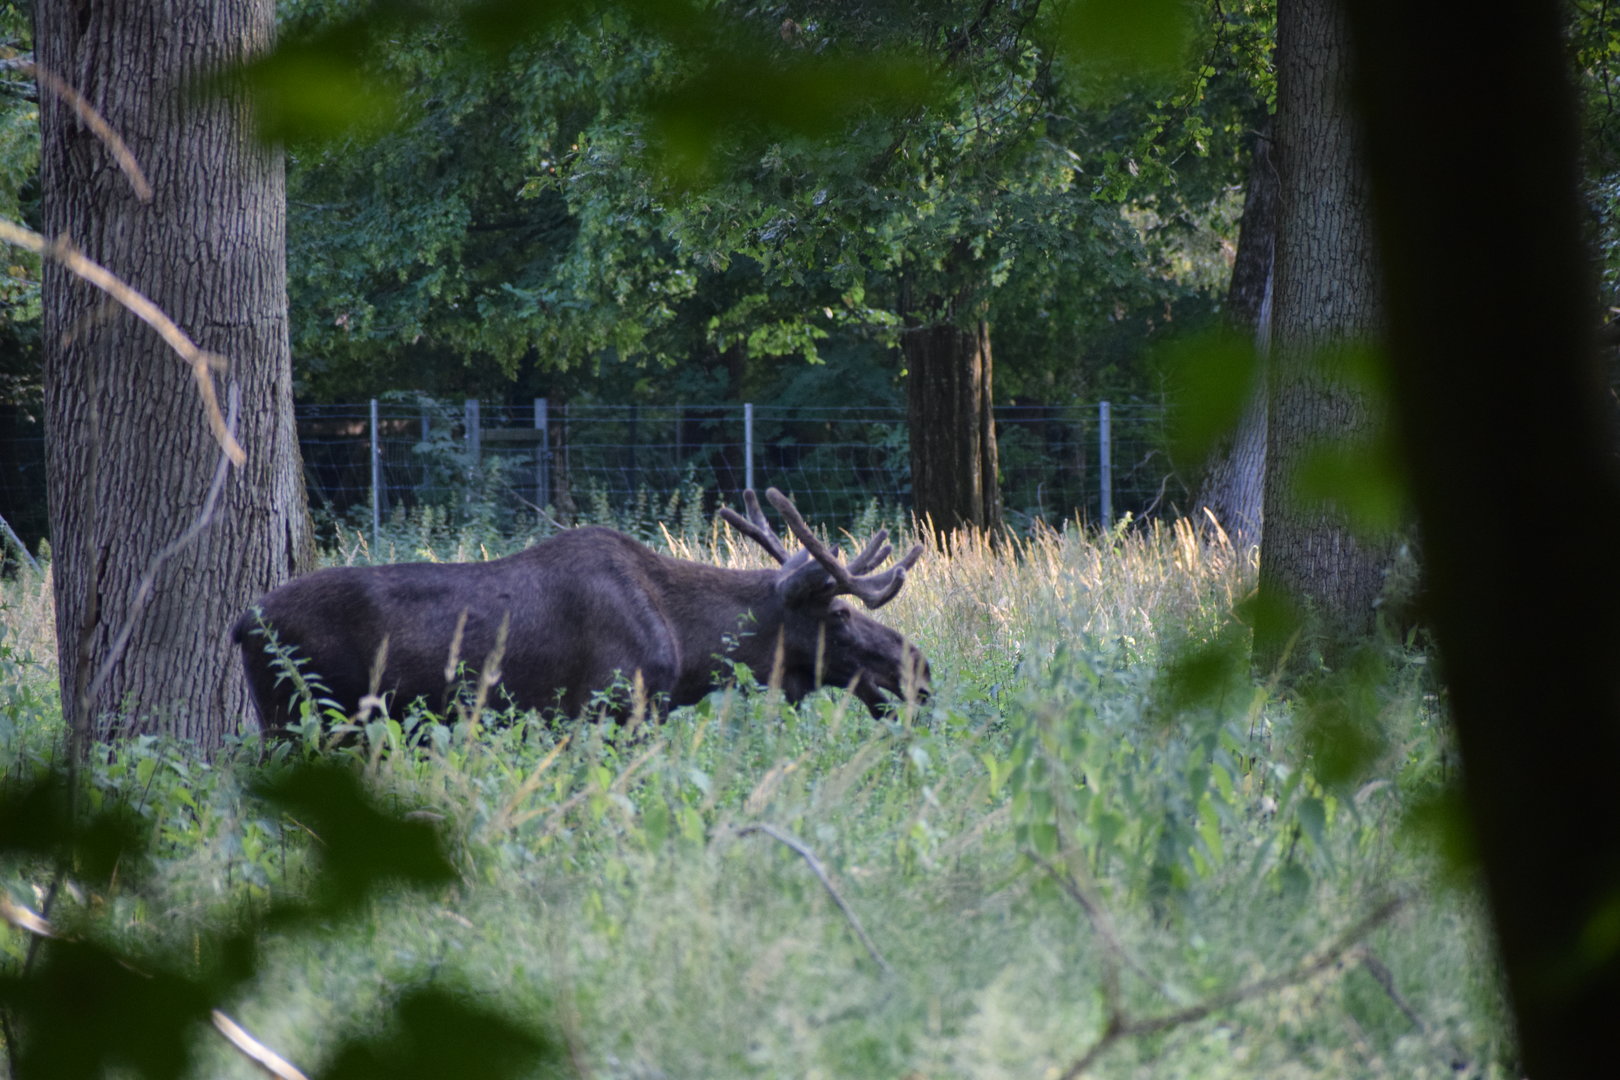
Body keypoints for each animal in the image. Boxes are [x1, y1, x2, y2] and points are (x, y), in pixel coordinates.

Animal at [234, 488, 929, 733]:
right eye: (838, 616)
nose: (918, 669)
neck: (689, 647)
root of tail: (239, 624)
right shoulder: (611, 709)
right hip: (299, 717)